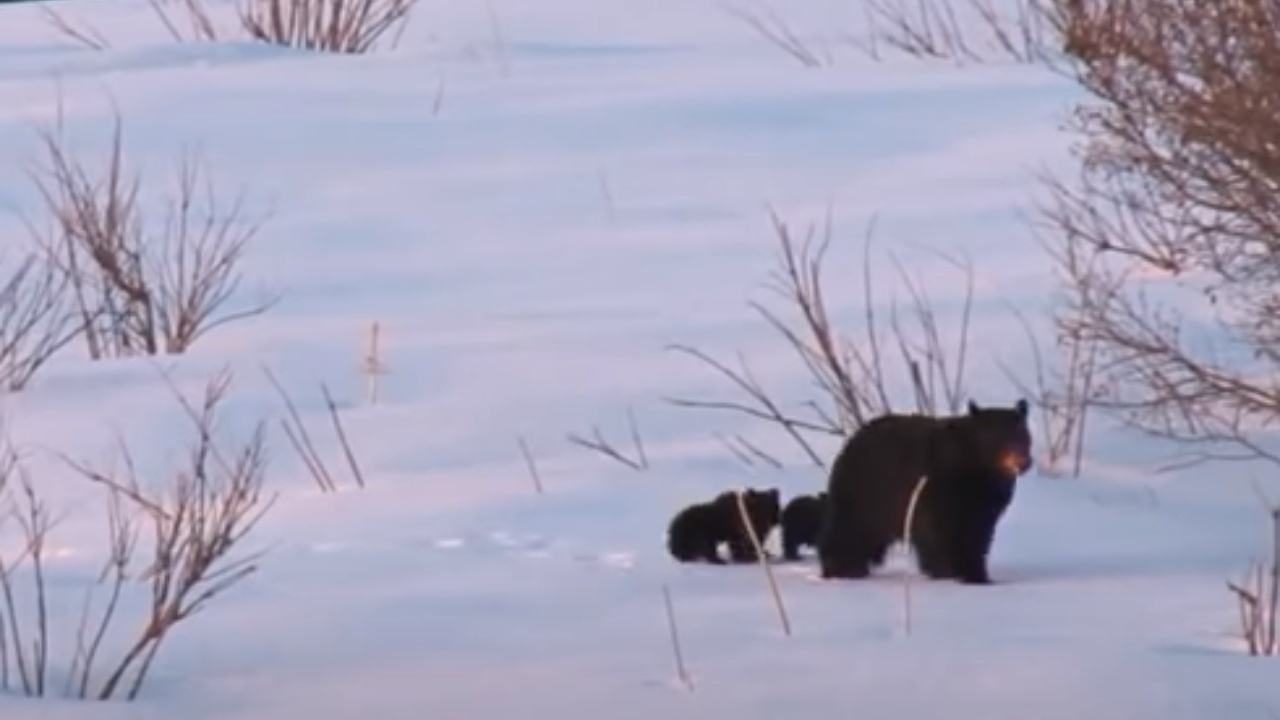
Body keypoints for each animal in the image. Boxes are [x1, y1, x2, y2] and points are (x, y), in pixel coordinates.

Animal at [814, 397, 1034, 584]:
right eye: (998, 437)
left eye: (1023, 435)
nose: (1023, 461)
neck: (978, 468)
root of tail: (849, 442)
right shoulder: (939, 486)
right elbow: (941, 534)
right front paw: (952, 573)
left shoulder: (985, 501)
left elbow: (978, 535)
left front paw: (978, 575)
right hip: (864, 493)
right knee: (847, 532)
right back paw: (843, 569)